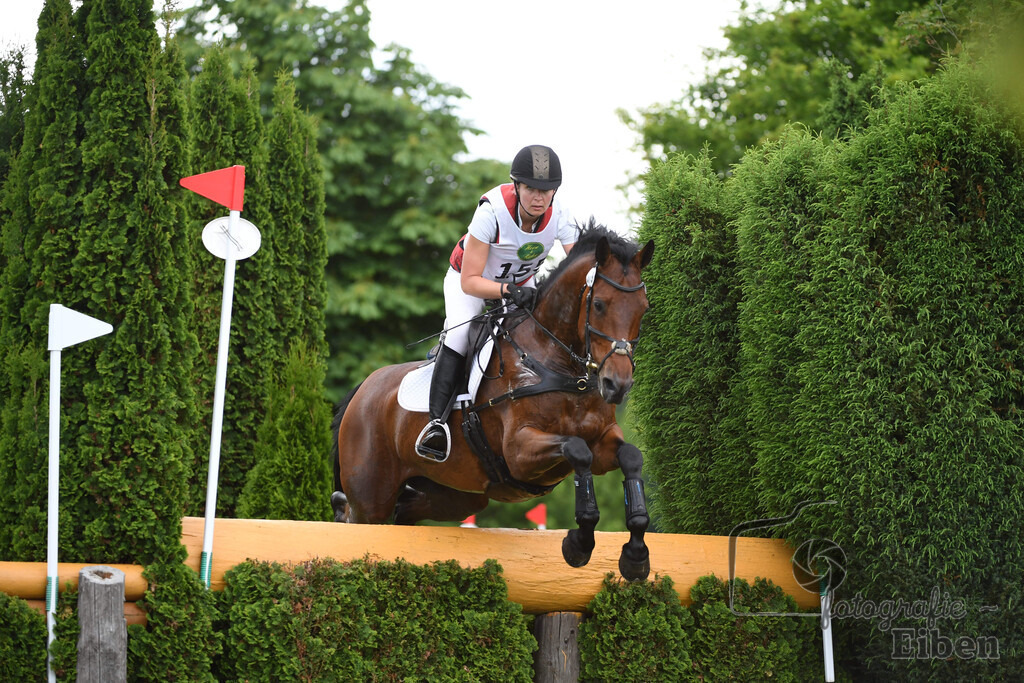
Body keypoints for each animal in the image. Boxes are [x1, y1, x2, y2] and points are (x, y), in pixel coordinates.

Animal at [330, 222, 655, 580]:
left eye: (644, 308)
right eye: (598, 304)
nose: (617, 385)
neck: (561, 366)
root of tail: (362, 389)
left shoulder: (602, 440)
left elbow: (630, 457)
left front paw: (636, 556)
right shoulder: (519, 451)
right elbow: (577, 450)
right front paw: (579, 544)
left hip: (455, 494)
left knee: (406, 512)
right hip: (371, 498)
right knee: (356, 518)